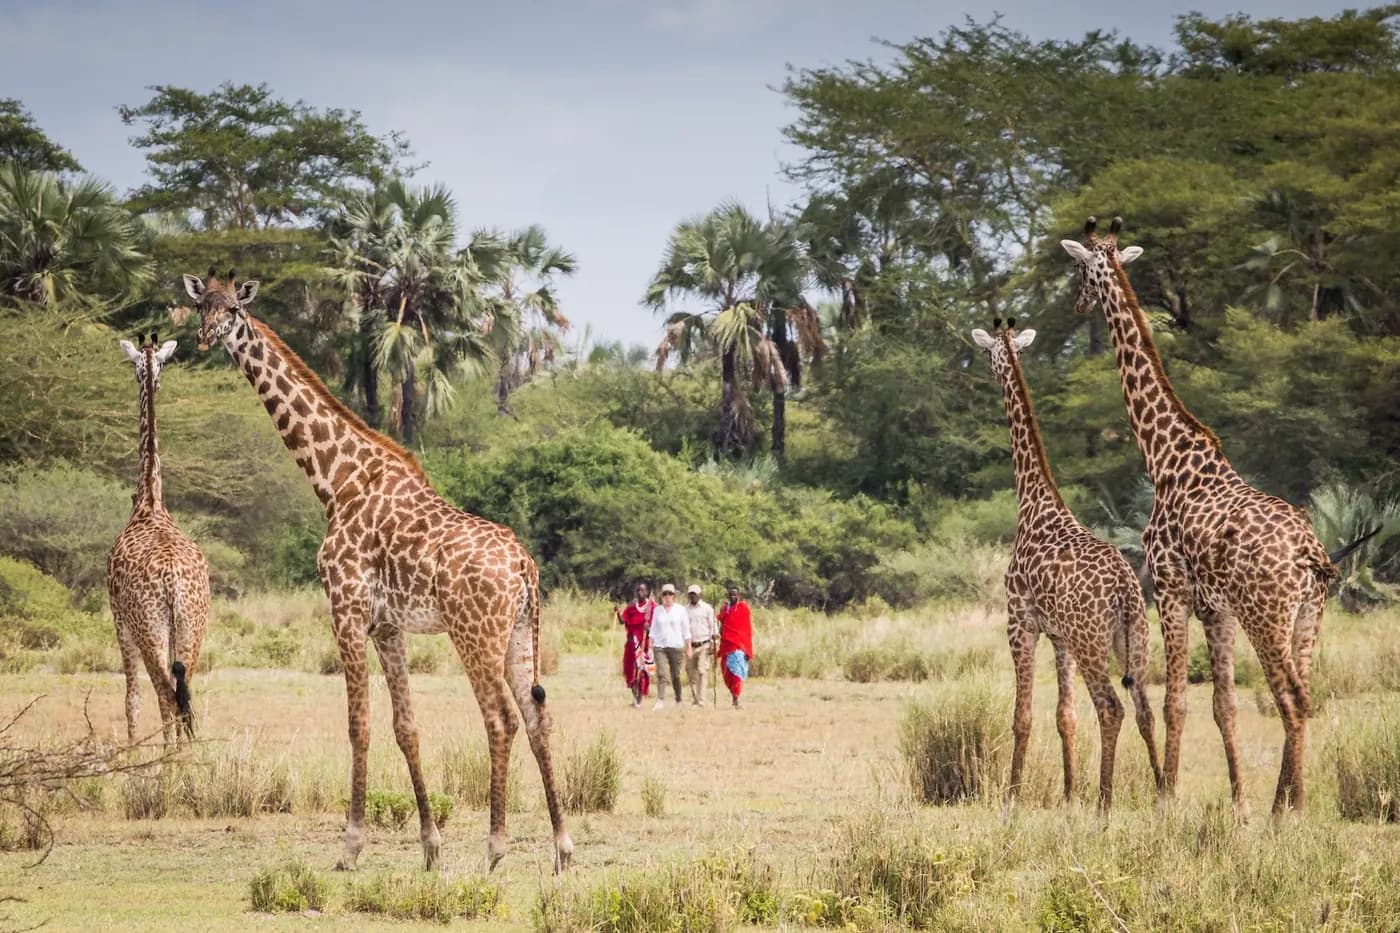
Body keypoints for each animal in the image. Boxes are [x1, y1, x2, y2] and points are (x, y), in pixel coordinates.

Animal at [181, 268, 572, 874]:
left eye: (235, 311)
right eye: (202, 305)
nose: (204, 337)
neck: (335, 481)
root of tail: (525, 568)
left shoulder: (344, 608)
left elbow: (358, 724)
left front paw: (350, 845)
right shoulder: (387, 625)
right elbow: (405, 726)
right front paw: (431, 846)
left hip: (474, 633)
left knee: (501, 718)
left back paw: (495, 847)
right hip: (520, 633)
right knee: (537, 717)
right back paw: (561, 848)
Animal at [972, 319, 1161, 812]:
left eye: (989, 353)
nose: (988, 371)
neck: (1034, 503)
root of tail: (1125, 590)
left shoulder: (1020, 621)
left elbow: (1022, 716)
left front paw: (1011, 799)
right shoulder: (1059, 637)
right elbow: (1065, 715)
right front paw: (1070, 794)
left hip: (1092, 641)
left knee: (1112, 708)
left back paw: (1105, 805)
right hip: (1133, 638)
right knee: (1145, 709)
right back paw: (1162, 794)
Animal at [1061, 216, 1344, 818]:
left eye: (1080, 269)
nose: (1077, 303)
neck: (1165, 457)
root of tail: (1310, 556)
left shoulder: (1169, 589)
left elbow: (1175, 702)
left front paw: (1166, 798)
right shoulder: (1216, 610)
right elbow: (1223, 705)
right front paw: (1238, 802)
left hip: (1267, 615)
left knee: (1290, 698)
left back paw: (1287, 811)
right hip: (1310, 614)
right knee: (1306, 695)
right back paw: (1289, 801)